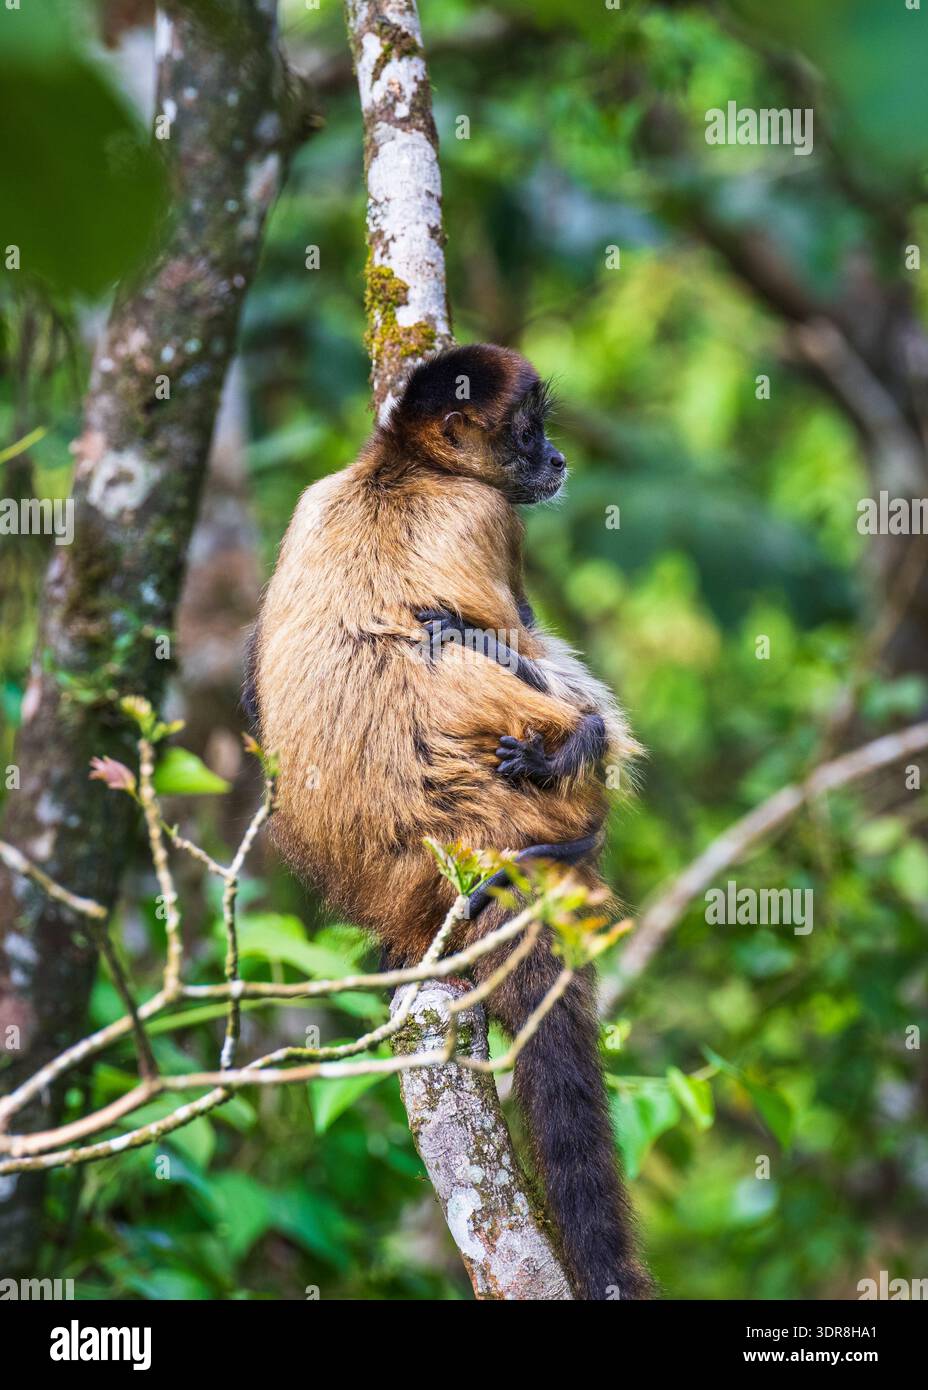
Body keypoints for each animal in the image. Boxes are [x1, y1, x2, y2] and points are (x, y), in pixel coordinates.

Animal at [247, 343, 654, 1300]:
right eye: (529, 430)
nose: (557, 460)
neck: (400, 467)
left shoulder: (316, 494)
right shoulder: (488, 515)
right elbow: (523, 636)